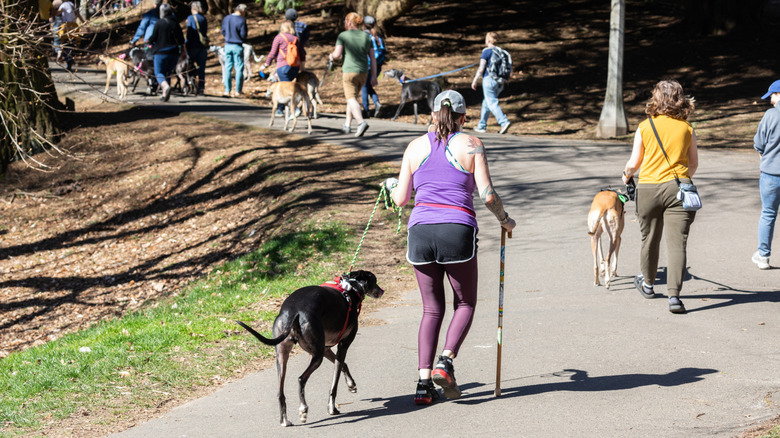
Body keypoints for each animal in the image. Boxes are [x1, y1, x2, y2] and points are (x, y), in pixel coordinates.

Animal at [236, 272, 386, 426]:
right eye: (374, 280)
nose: (382, 290)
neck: (352, 287)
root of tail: (292, 311)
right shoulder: (343, 345)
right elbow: (335, 381)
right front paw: (332, 408)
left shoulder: (325, 348)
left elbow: (343, 365)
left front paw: (351, 385)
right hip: (317, 357)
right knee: (301, 379)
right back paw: (303, 409)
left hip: (284, 356)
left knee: (280, 392)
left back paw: (285, 420)